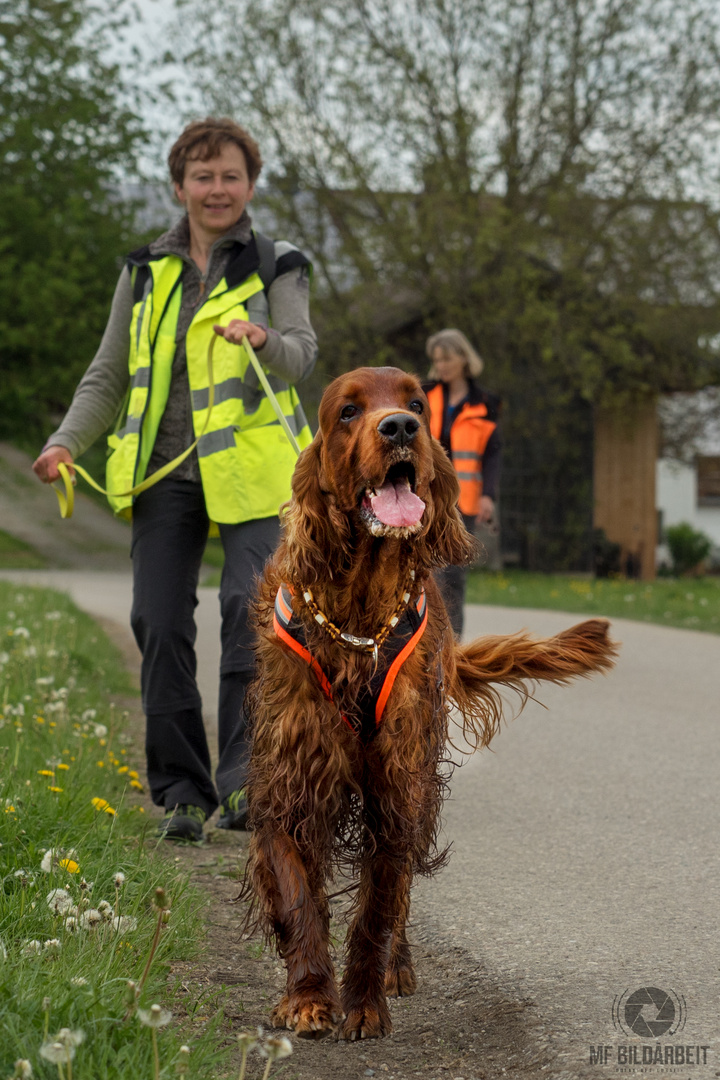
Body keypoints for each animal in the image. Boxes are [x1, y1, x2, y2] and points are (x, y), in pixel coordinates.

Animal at [245, 367, 617, 1041]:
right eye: (348, 412)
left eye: (416, 402)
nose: (400, 428)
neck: (357, 615)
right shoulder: (288, 779)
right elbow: (296, 894)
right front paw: (308, 996)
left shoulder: (398, 784)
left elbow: (378, 906)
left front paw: (365, 1002)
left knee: (400, 897)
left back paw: (397, 966)